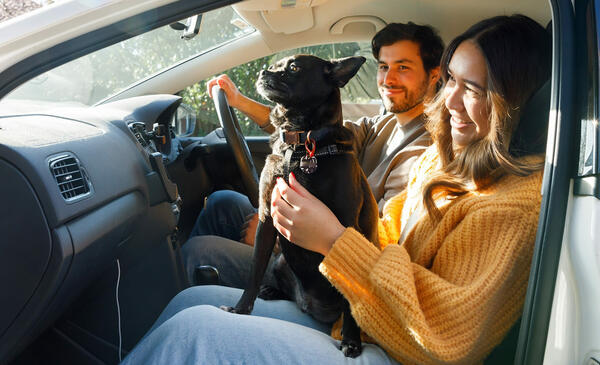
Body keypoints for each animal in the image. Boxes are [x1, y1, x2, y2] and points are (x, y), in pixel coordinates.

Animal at [223, 54, 378, 356]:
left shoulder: (345, 227)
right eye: (275, 65)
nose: (264, 71)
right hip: (281, 260)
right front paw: (241, 308)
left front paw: (351, 340)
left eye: (294, 68)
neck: (299, 145)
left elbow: (349, 292)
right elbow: (255, 269)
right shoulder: (267, 217)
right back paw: (273, 291)